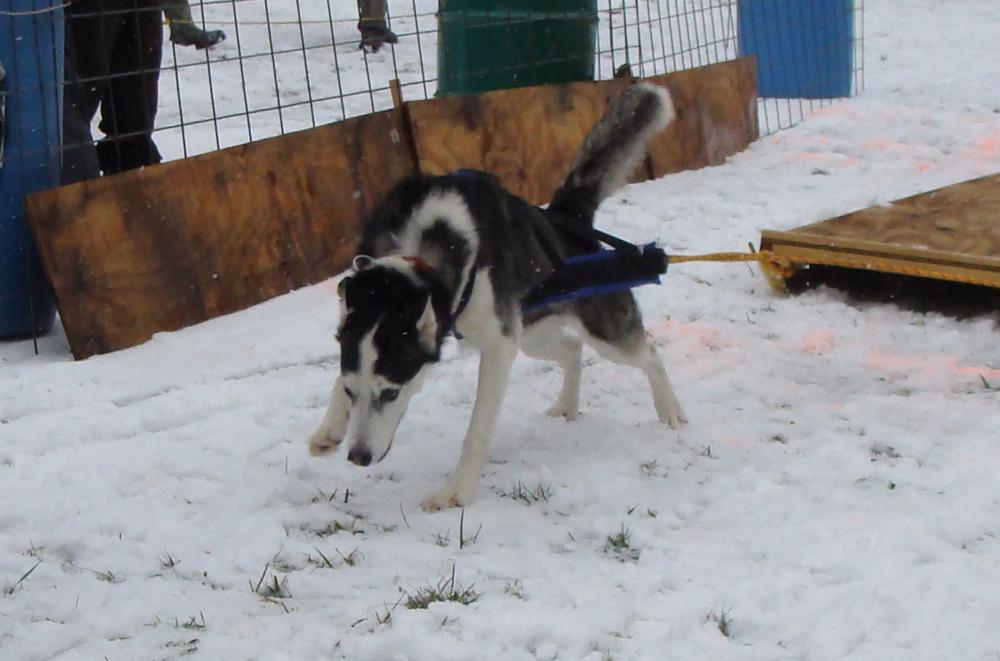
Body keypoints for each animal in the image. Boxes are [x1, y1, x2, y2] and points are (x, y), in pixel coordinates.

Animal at [310, 80, 688, 508]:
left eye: (390, 394)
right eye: (350, 390)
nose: (357, 457)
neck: (424, 247)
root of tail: (566, 218)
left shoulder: (498, 345)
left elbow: (478, 427)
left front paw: (456, 491)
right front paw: (329, 428)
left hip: (602, 333)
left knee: (648, 352)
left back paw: (670, 409)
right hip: (533, 333)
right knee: (572, 349)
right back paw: (566, 405)